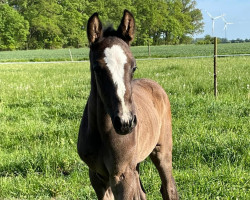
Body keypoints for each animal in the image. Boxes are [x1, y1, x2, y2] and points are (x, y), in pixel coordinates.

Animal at [77, 9, 179, 200]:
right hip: (135, 163)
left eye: (134, 67)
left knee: (168, 187)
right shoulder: (96, 175)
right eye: (97, 68)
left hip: (162, 150)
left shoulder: (122, 174)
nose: (125, 123)